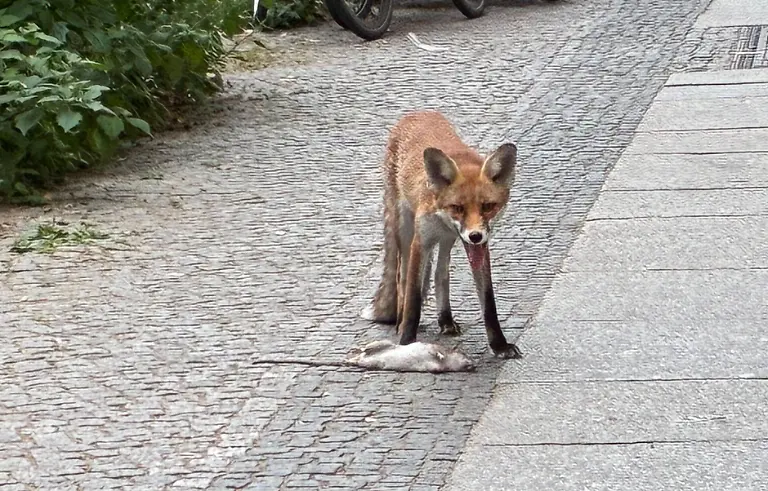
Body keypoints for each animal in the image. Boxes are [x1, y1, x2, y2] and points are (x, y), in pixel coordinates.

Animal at [362, 110, 522, 359]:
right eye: (457, 207)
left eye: (487, 206)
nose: (475, 236)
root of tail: (417, 112)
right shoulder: (421, 241)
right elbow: (413, 298)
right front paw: (407, 342)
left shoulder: (477, 245)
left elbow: (488, 301)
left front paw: (499, 345)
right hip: (404, 230)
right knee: (401, 278)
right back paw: (400, 321)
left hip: (449, 240)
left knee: (440, 273)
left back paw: (445, 320)